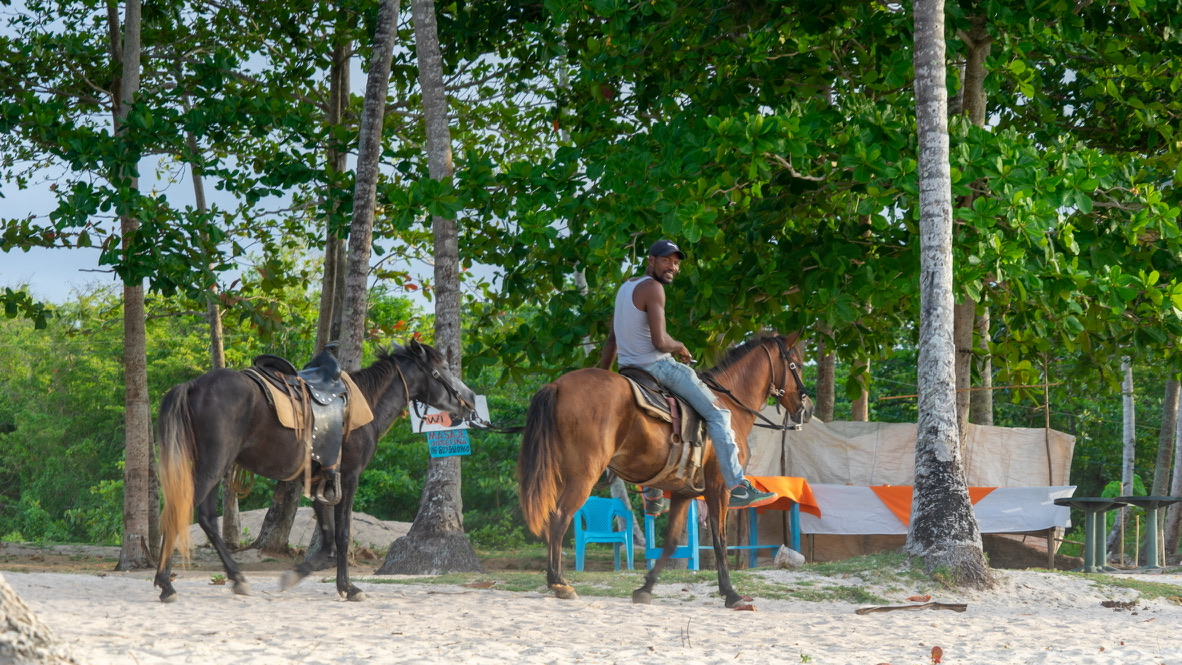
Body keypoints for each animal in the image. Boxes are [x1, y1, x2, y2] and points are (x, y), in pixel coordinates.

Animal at [154, 339, 476, 603]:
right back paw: (166, 584)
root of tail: (192, 385)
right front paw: (349, 587)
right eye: (442, 369)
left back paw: (236, 578)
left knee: (206, 518)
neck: (365, 403)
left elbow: (327, 539)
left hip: (212, 467)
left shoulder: (319, 479)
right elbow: (342, 534)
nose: (470, 399)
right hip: (214, 465)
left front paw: (298, 575)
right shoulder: (349, 476)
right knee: (178, 512)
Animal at [517, 332, 813, 608]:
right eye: (797, 365)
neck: (728, 404)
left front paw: (645, 589)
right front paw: (731, 593)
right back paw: (558, 582)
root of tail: (557, 385)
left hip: (562, 474)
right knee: (560, 516)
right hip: (583, 476)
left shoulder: (683, 492)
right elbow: (720, 540)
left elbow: (670, 543)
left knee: (554, 517)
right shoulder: (719, 488)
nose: (807, 409)